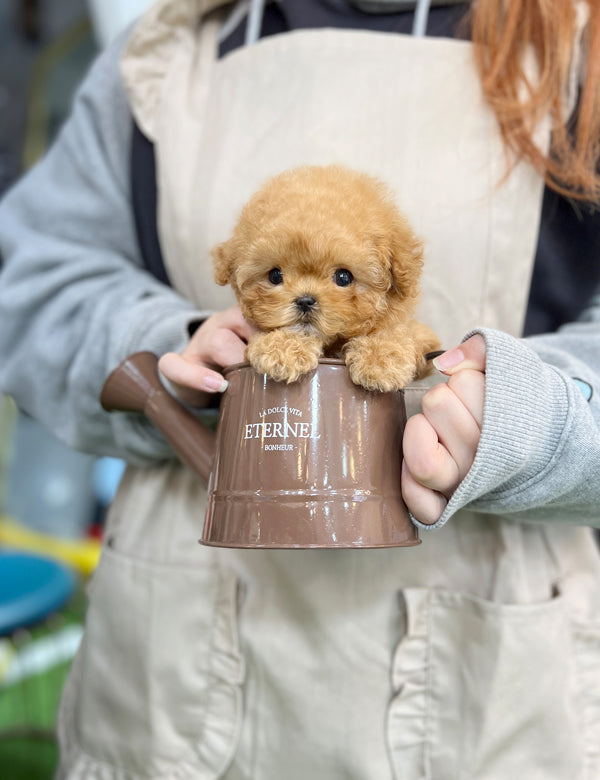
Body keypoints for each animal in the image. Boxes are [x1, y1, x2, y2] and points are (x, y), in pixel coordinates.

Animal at [212, 167, 440, 394]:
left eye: (343, 277)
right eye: (274, 276)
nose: (305, 301)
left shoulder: (422, 337)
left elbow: (398, 330)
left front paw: (379, 359)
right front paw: (283, 349)